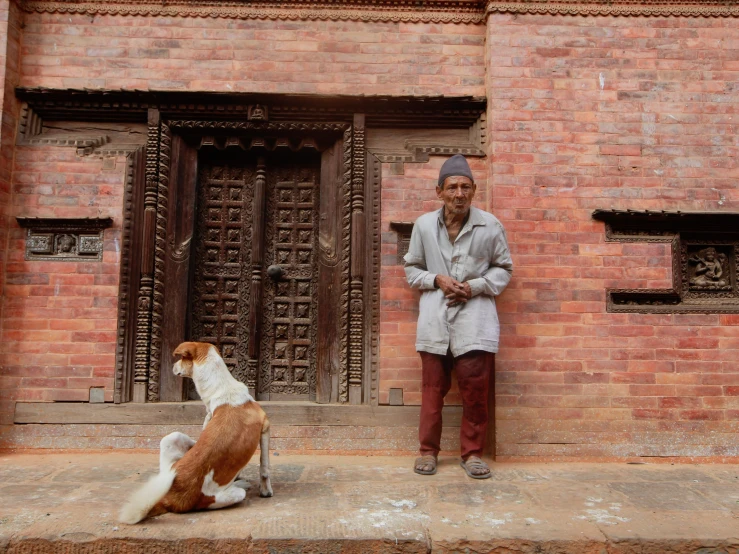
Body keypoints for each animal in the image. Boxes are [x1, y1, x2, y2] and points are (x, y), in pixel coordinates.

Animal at [120, 338, 274, 524]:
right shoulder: (265, 427)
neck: (222, 388)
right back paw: (240, 484)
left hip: (170, 439)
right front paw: (266, 491)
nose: (173, 366)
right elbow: (264, 466)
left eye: (181, 359)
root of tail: (169, 498)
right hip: (230, 496)